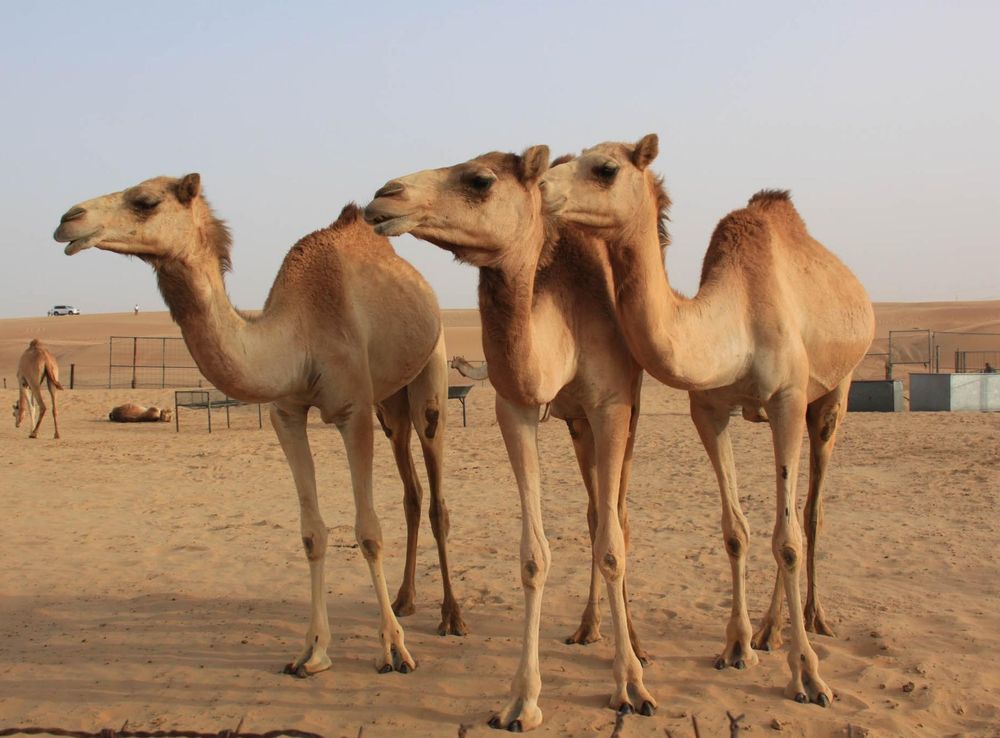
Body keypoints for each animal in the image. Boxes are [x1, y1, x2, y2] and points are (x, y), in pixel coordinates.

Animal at [53, 174, 466, 679]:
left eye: (145, 200)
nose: (68, 219)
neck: (298, 336)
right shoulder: (285, 414)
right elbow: (311, 533)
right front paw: (312, 653)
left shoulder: (352, 410)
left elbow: (368, 532)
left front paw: (393, 650)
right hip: (390, 403)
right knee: (411, 492)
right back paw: (405, 600)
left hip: (431, 371)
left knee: (436, 491)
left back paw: (451, 617)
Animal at [365, 147, 653, 730]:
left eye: (480, 180)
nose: (385, 195)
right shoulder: (514, 406)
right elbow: (534, 556)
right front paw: (522, 700)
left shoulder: (612, 405)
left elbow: (614, 545)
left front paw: (630, 686)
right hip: (576, 425)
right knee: (595, 512)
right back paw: (587, 628)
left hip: (627, 410)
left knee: (616, 518)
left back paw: (632, 643)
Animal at [540, 134, 875, 707]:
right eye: (565, 160)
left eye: (605, 169)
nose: (539, 186)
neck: (736, 320)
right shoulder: (708, 410)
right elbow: (735, 530)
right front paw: (736, 646)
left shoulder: (788, 400)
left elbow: (787, 539)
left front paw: (808, 676)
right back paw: (768, 631)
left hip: (834, 393)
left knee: (808, 513)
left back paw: (812, 620)